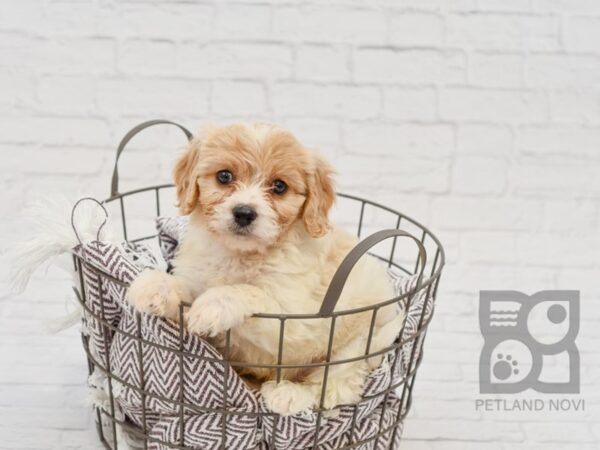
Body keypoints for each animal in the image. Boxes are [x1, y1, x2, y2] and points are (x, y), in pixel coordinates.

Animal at [129, 122, 406, 414]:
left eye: (279, 186)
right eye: (224, 176)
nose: (244, 213)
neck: (241, 255)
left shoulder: (297, 320)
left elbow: (252, 292)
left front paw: (213, 307)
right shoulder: (197, 276)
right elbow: (184, 288)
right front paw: (153, 285)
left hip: (359, 345)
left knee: (332, 389)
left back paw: (288, 394)